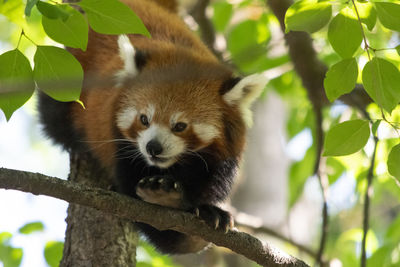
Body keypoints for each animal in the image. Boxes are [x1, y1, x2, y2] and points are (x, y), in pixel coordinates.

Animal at [38, 0, 268, 255]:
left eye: (180, 126)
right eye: (144, 119)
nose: (153, 147)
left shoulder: (220, 159)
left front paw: (207, 210)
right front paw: (167, 203)